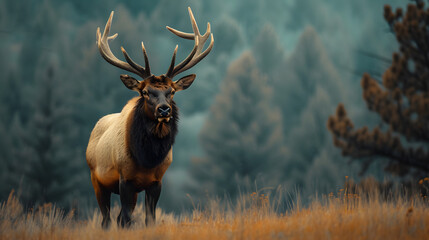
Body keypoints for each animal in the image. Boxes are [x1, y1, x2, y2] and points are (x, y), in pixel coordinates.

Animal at [86, 7, 213, 228]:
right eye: (145, 92)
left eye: (172, 91)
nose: (164, 110)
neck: (147, 159)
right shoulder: (124, 179)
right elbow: (126, 219)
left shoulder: (155, 181)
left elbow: (149, 219)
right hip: (97, 179)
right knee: (106, 219)